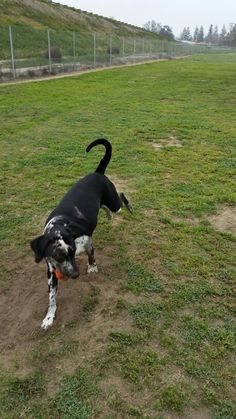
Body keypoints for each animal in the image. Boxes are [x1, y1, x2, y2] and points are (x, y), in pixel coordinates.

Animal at [30, 140, 132, 332]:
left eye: (72, 251)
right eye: (57, 255)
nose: (76, 274)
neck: (60, 225)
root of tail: (97, 173)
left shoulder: (87, 243)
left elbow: (91, 255)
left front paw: (92, 267)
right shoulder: (51, 270)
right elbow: (52, 298)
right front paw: (49, 317)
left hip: (114, 202)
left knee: (121, 197)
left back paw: (128, 206)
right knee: (105, 207)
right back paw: (108, 215)